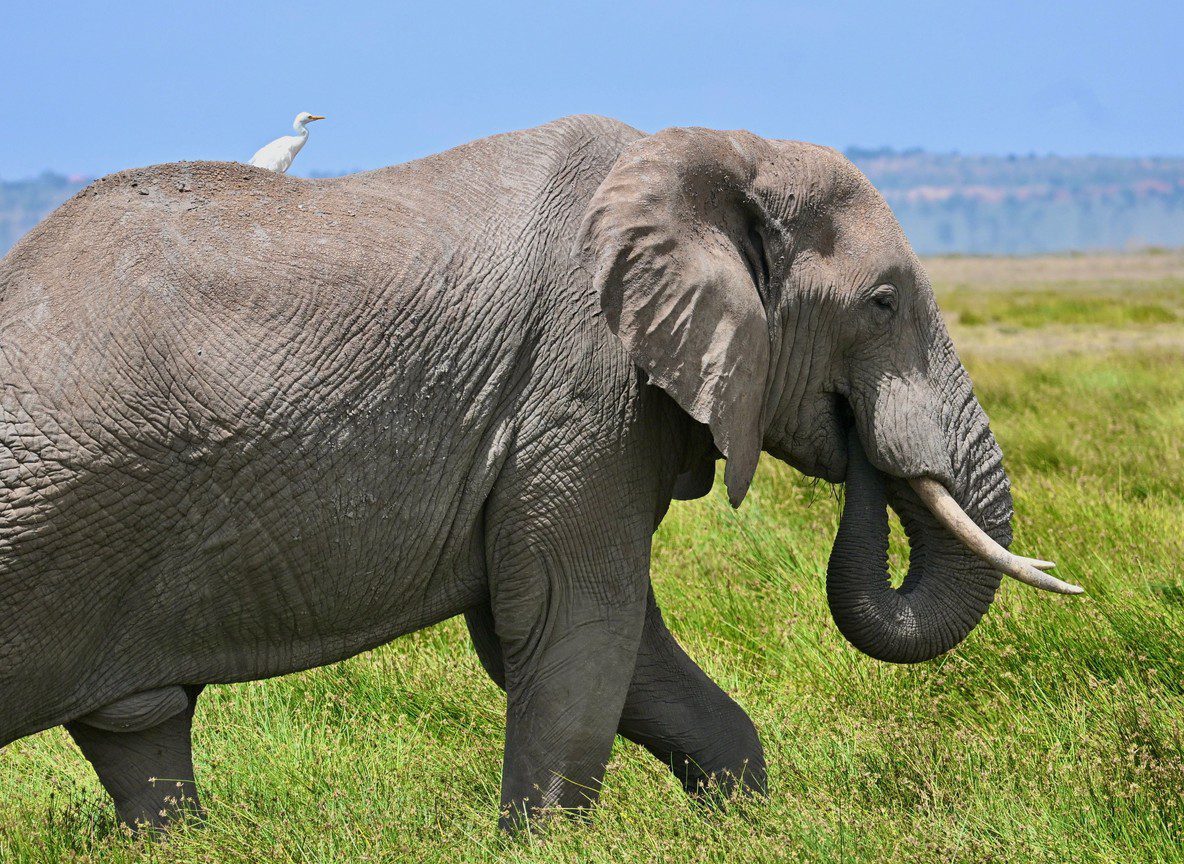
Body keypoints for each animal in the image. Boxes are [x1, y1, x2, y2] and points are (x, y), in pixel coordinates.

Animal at [0, 115, 1080, 833]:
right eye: (883, 302)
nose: (858, 443)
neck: (705, 154)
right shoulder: (581, 379)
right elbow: (572, 620)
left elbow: (611, 647)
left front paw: (741, 827)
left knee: (139, 733)